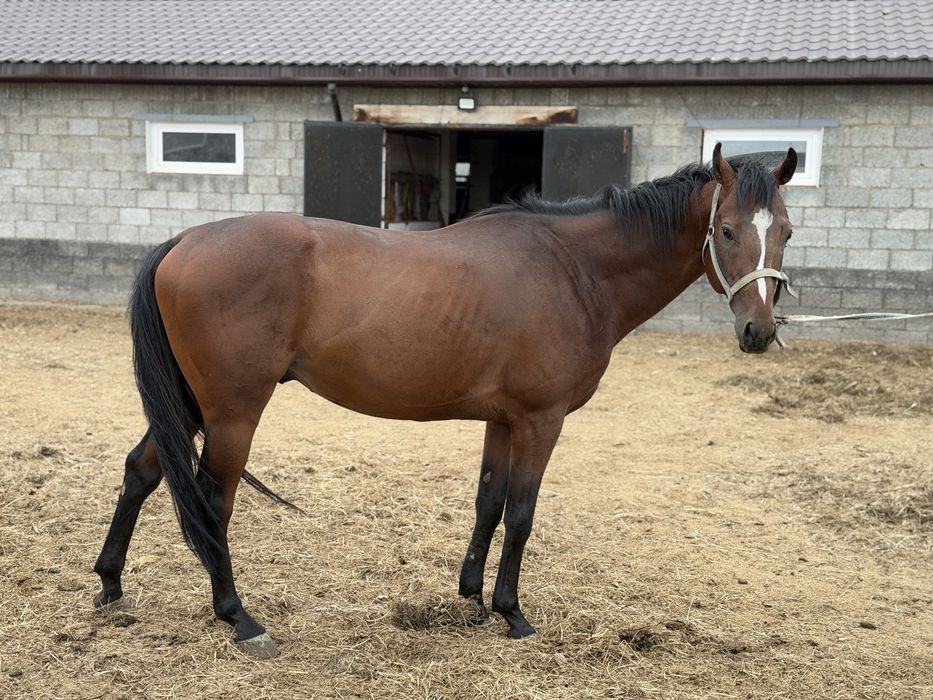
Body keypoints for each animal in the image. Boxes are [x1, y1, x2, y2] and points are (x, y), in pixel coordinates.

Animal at [93, 144, 797, 657]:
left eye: (787, 231)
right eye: (726, 229)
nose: (759, 331)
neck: (575, 269)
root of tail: (183, 241)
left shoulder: (503, 421)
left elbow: (489, 503)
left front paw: (474, 600)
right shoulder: (539, 421)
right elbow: (521, 513)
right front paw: (513, 614)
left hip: (192, 404)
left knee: (142, 472)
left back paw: (109, 585)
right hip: (232, 411)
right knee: (213, 501)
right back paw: (239, 618)